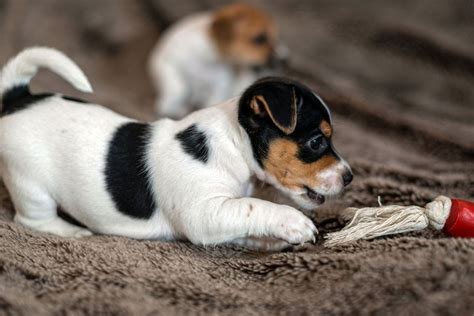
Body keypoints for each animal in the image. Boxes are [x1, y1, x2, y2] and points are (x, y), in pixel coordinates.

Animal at [0, 47, 352, 252]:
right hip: (31, 185)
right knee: (32, 220)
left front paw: (271, 242)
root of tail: (19, 98)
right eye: (317, 141)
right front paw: (294, 223)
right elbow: (256, 207)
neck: (231, 146)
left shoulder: (224, 216)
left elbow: (246, 220)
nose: (349, 177)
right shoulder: (205, 212)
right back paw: (70, 231)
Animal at [150, 3, 286, 119]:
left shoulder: (219, 88)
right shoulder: (167, 64)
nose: (285, 59)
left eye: (277, 37)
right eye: (259, 39)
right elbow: (176, 91)